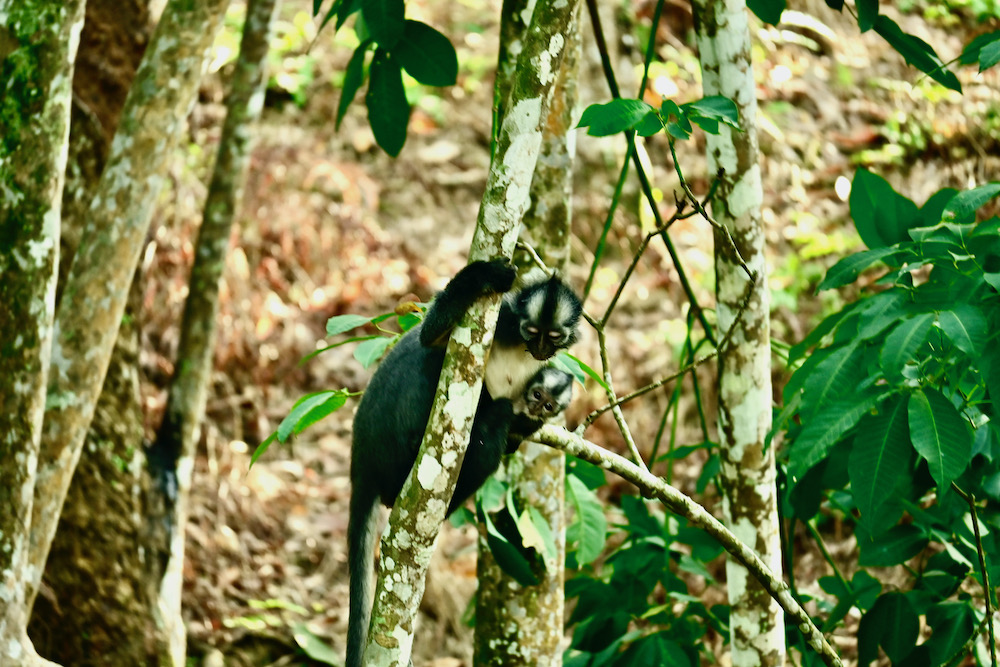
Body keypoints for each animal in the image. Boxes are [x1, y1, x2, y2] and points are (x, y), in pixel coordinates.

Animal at [347, 259, 582, 667]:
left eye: (553, 337)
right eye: (531, 331)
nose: (539, 349)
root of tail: (361, 458)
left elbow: (513, 439)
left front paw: (527, 425)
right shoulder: (503, 322)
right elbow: (429, 337)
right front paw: (484, 275)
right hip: (387, 440)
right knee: (429, 360)